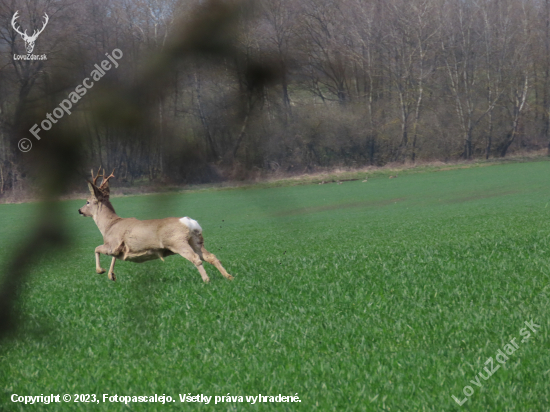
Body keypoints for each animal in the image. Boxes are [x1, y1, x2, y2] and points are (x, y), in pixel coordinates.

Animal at [77, 167, 233, 284]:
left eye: (87, 201)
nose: (79, 210)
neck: (108, 226)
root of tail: (189, 222)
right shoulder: (117, 247)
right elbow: (113, 257)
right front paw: (111, 275)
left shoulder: (112, 244)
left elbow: (96, 249)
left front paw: (100, 271)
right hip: (196, 240)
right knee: (211, 257)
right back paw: (229, 277)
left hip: (178, 241)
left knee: (196, 259)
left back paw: (207, 280)